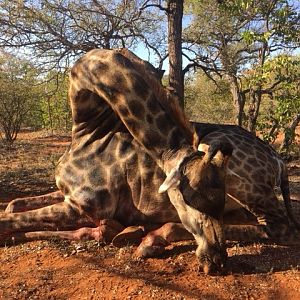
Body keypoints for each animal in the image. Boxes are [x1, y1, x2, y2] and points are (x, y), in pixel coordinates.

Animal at [0, 48, 232, 276]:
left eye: (219, 204)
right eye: (191, 200)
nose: (217, 261)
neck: (86, 130)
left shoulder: (84, 207)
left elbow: (7, 220)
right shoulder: (68, 196)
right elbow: (12, 206)